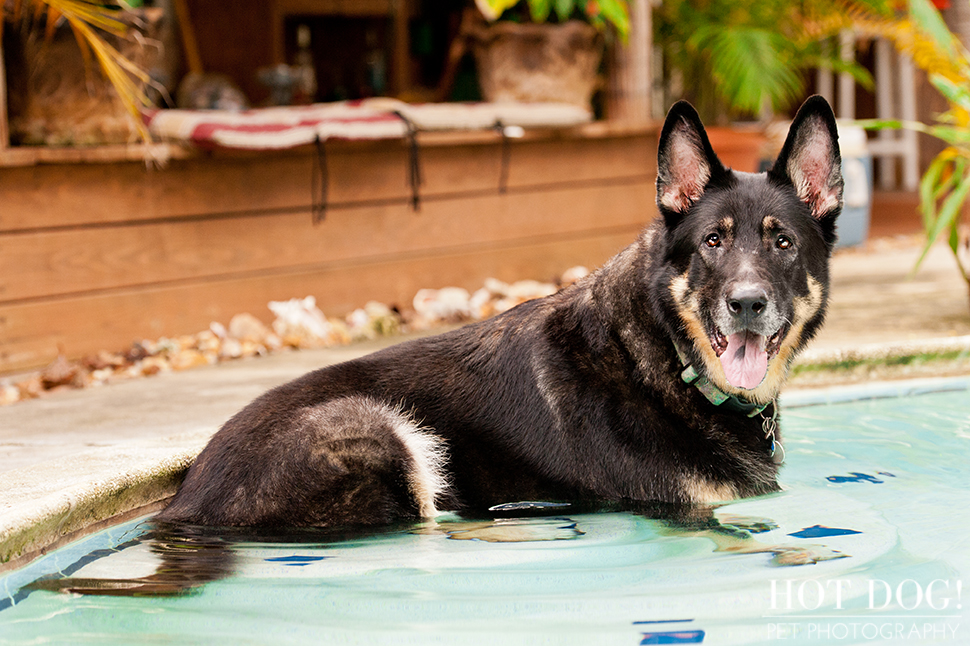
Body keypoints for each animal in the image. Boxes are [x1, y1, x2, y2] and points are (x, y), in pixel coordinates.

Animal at [157, 93, 840, 536]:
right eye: (713, 242)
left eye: (782, 243)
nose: (746, 303)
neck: (668, 358)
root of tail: (184, 503)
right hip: (383, 434)